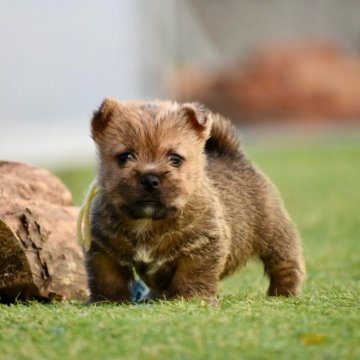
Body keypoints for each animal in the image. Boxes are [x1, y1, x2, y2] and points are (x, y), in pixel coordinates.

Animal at [86, 98, 306, 304]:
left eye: (175, 158)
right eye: (125, 156)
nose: (150, 179)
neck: (148, 222)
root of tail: (231, 154)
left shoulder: (201, 245)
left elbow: (192, 274)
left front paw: (193, 298)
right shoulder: (104, 249)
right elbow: (107, 278)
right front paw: (106, 300)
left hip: (274, 232)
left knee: (285, 262)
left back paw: (284, 292)